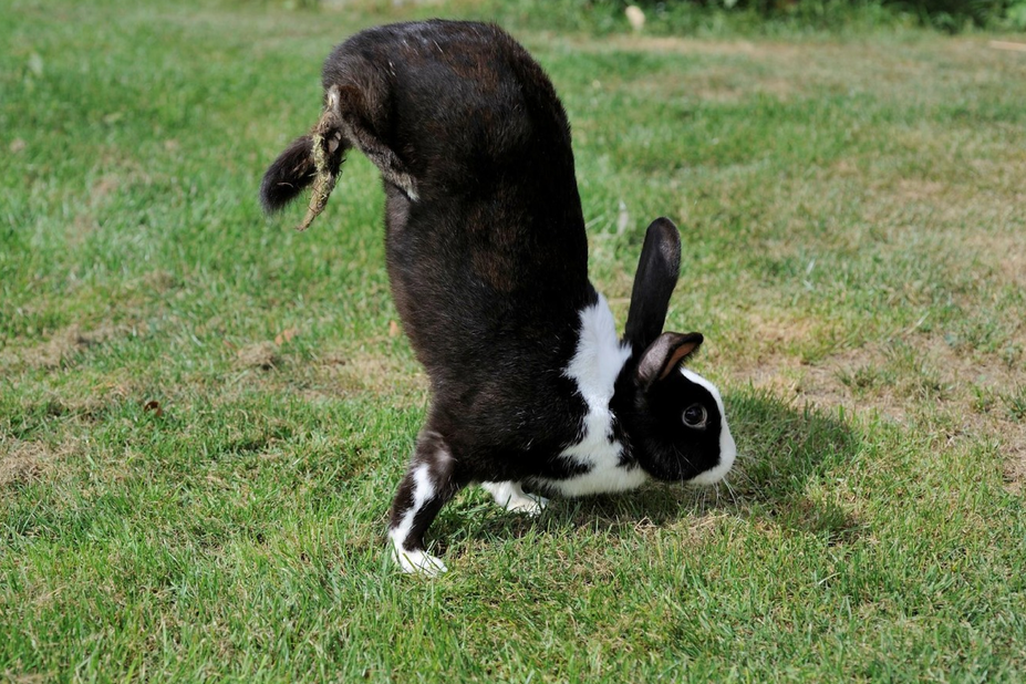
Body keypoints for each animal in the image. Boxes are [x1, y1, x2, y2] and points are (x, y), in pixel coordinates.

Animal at [260, 20, 736, 575]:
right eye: (693, 415)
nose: (728, 459)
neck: (606, 400)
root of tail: (381, 37)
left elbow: (499, 480)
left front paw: (524, 504)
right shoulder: (455, 438)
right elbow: (420, 494)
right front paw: (416, 561)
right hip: (381, 95)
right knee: (346, 102)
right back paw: (388, 165)